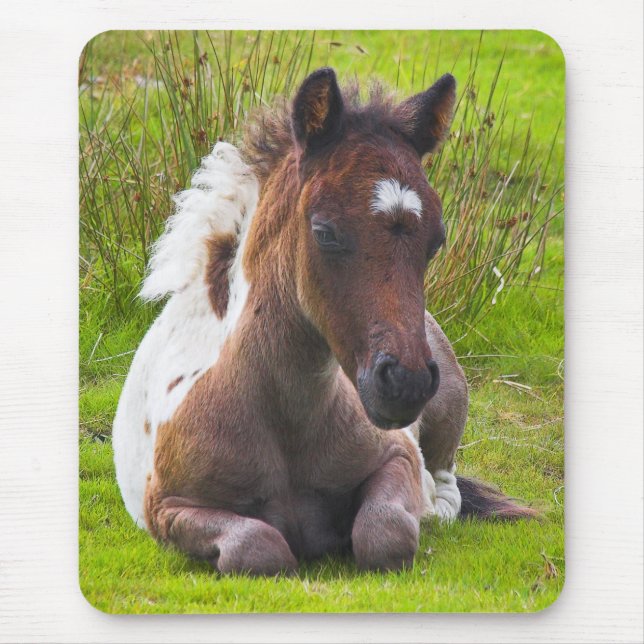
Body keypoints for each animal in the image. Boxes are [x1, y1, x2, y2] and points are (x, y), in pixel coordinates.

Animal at [113, 67, 536, 575]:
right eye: (325, 232)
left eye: (436, 239)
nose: (407, 382)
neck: (283, 420)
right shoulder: (167, 508)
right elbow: (258, 547)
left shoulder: (397, 455)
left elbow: (384, 532)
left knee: (446, 486)